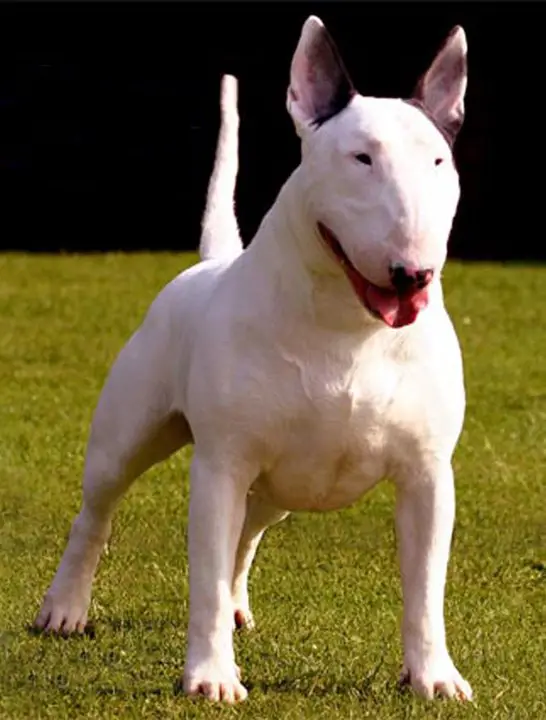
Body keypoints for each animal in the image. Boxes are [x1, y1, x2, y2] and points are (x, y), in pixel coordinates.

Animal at [34, 15, 470, 704]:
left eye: (438, 161)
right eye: (361, 158)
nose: (413, 274)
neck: (349, 328)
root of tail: (212, 260)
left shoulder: (428, 474)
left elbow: (425, 589)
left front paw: (434, 676)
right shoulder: (220, 466)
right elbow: (204, 578)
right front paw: (211, 676)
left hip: (282, 482)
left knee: (248, 532)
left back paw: (238, 604)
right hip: (127, 435)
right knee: (97, 513)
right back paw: (64, 607)